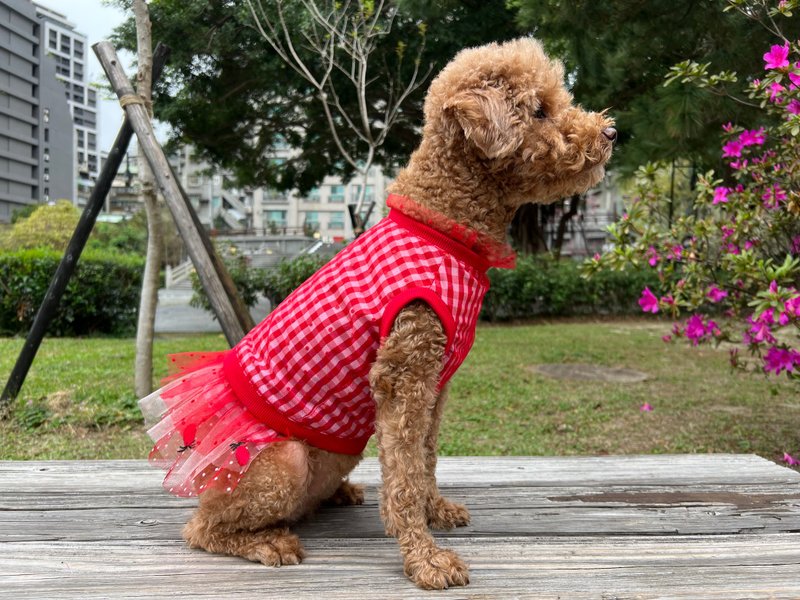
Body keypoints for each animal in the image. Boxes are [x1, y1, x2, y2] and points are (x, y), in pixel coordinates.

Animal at [142, 37, 612, 592]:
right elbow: (404, 477)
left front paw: (436, 511)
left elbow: (424, 459)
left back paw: (337, 495)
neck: (443, 225)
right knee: (202, 527)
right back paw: (267, 542)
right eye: (540, 110)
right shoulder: (404, 376)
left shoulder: (434, 384)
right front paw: (426, 559)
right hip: (280, 462)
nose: (610, 132)